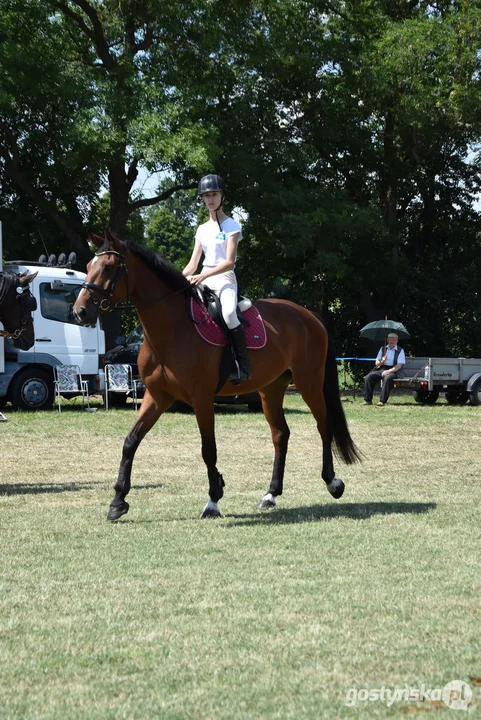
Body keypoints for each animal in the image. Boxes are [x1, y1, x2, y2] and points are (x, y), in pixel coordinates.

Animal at [73, 233, 360, 520]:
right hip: (271, 389)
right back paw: (271, 494)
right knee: (280, 435)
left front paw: (213, 500)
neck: (173, 330)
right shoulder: (157, 397)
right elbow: (130, 442)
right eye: (88, 266)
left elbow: (208, 450)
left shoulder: (201, 399)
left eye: (108, 268)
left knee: (324, 425)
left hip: (308, 382)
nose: (80, 311)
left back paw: (333, 482)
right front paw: (117, 502)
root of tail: (309, 316)